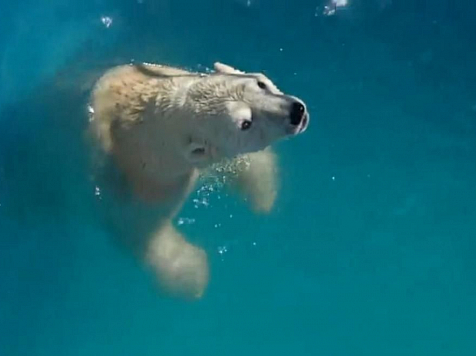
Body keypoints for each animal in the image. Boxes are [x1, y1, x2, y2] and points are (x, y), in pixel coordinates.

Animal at [89, 62, 310, 300]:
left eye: (261, 84)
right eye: (245, 123)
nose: (295, 112)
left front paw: (264, 198)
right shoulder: (143, 180)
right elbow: (140, 231)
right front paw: (194, 275)